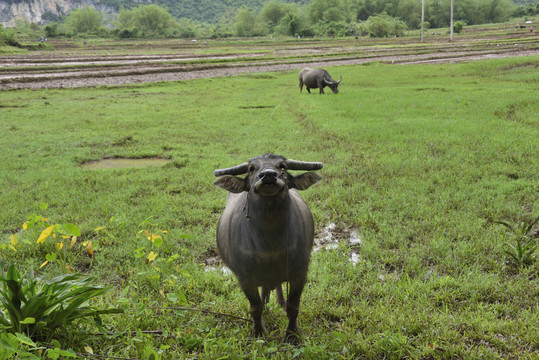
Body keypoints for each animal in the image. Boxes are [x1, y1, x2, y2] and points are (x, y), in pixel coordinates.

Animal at [214, 153, 324, 344]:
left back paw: (280, 303)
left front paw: (292, 334)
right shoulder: (245, 279)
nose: (268, 175)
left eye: (282, 167)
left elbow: (293, 307)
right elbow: (255, 308)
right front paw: (259, 333)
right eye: (251, 168)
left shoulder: (300, 273)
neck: (269, 245)